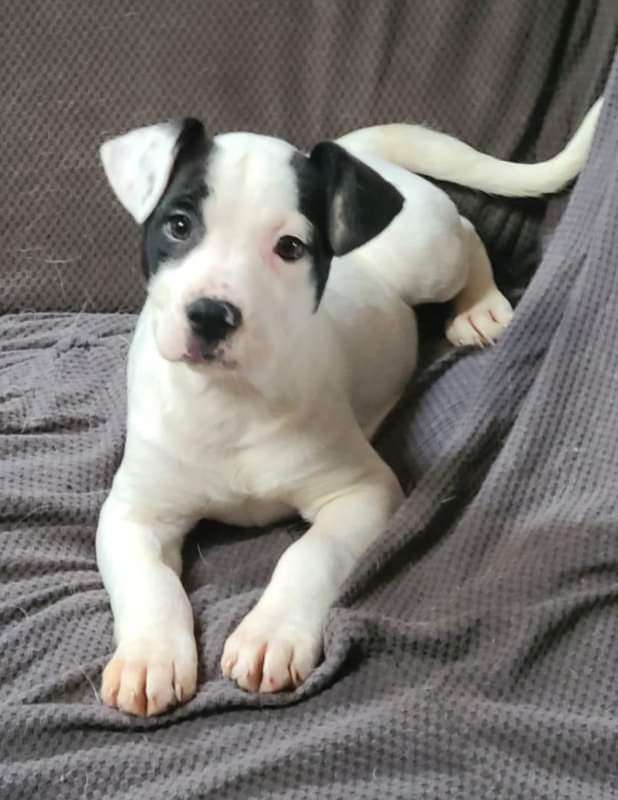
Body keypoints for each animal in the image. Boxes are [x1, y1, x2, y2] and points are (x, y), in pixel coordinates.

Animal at [95, 100, 596, 720]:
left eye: (290, 247)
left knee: (467, 232)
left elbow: (309, 555)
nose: (211, 315)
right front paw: (150, 656)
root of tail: (356, 154)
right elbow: (149, 582)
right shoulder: (133, 513)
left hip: (427, 255)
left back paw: (480, 306)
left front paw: (270, 633)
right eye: (179, 225)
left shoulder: (360, 494)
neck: (231, 401)